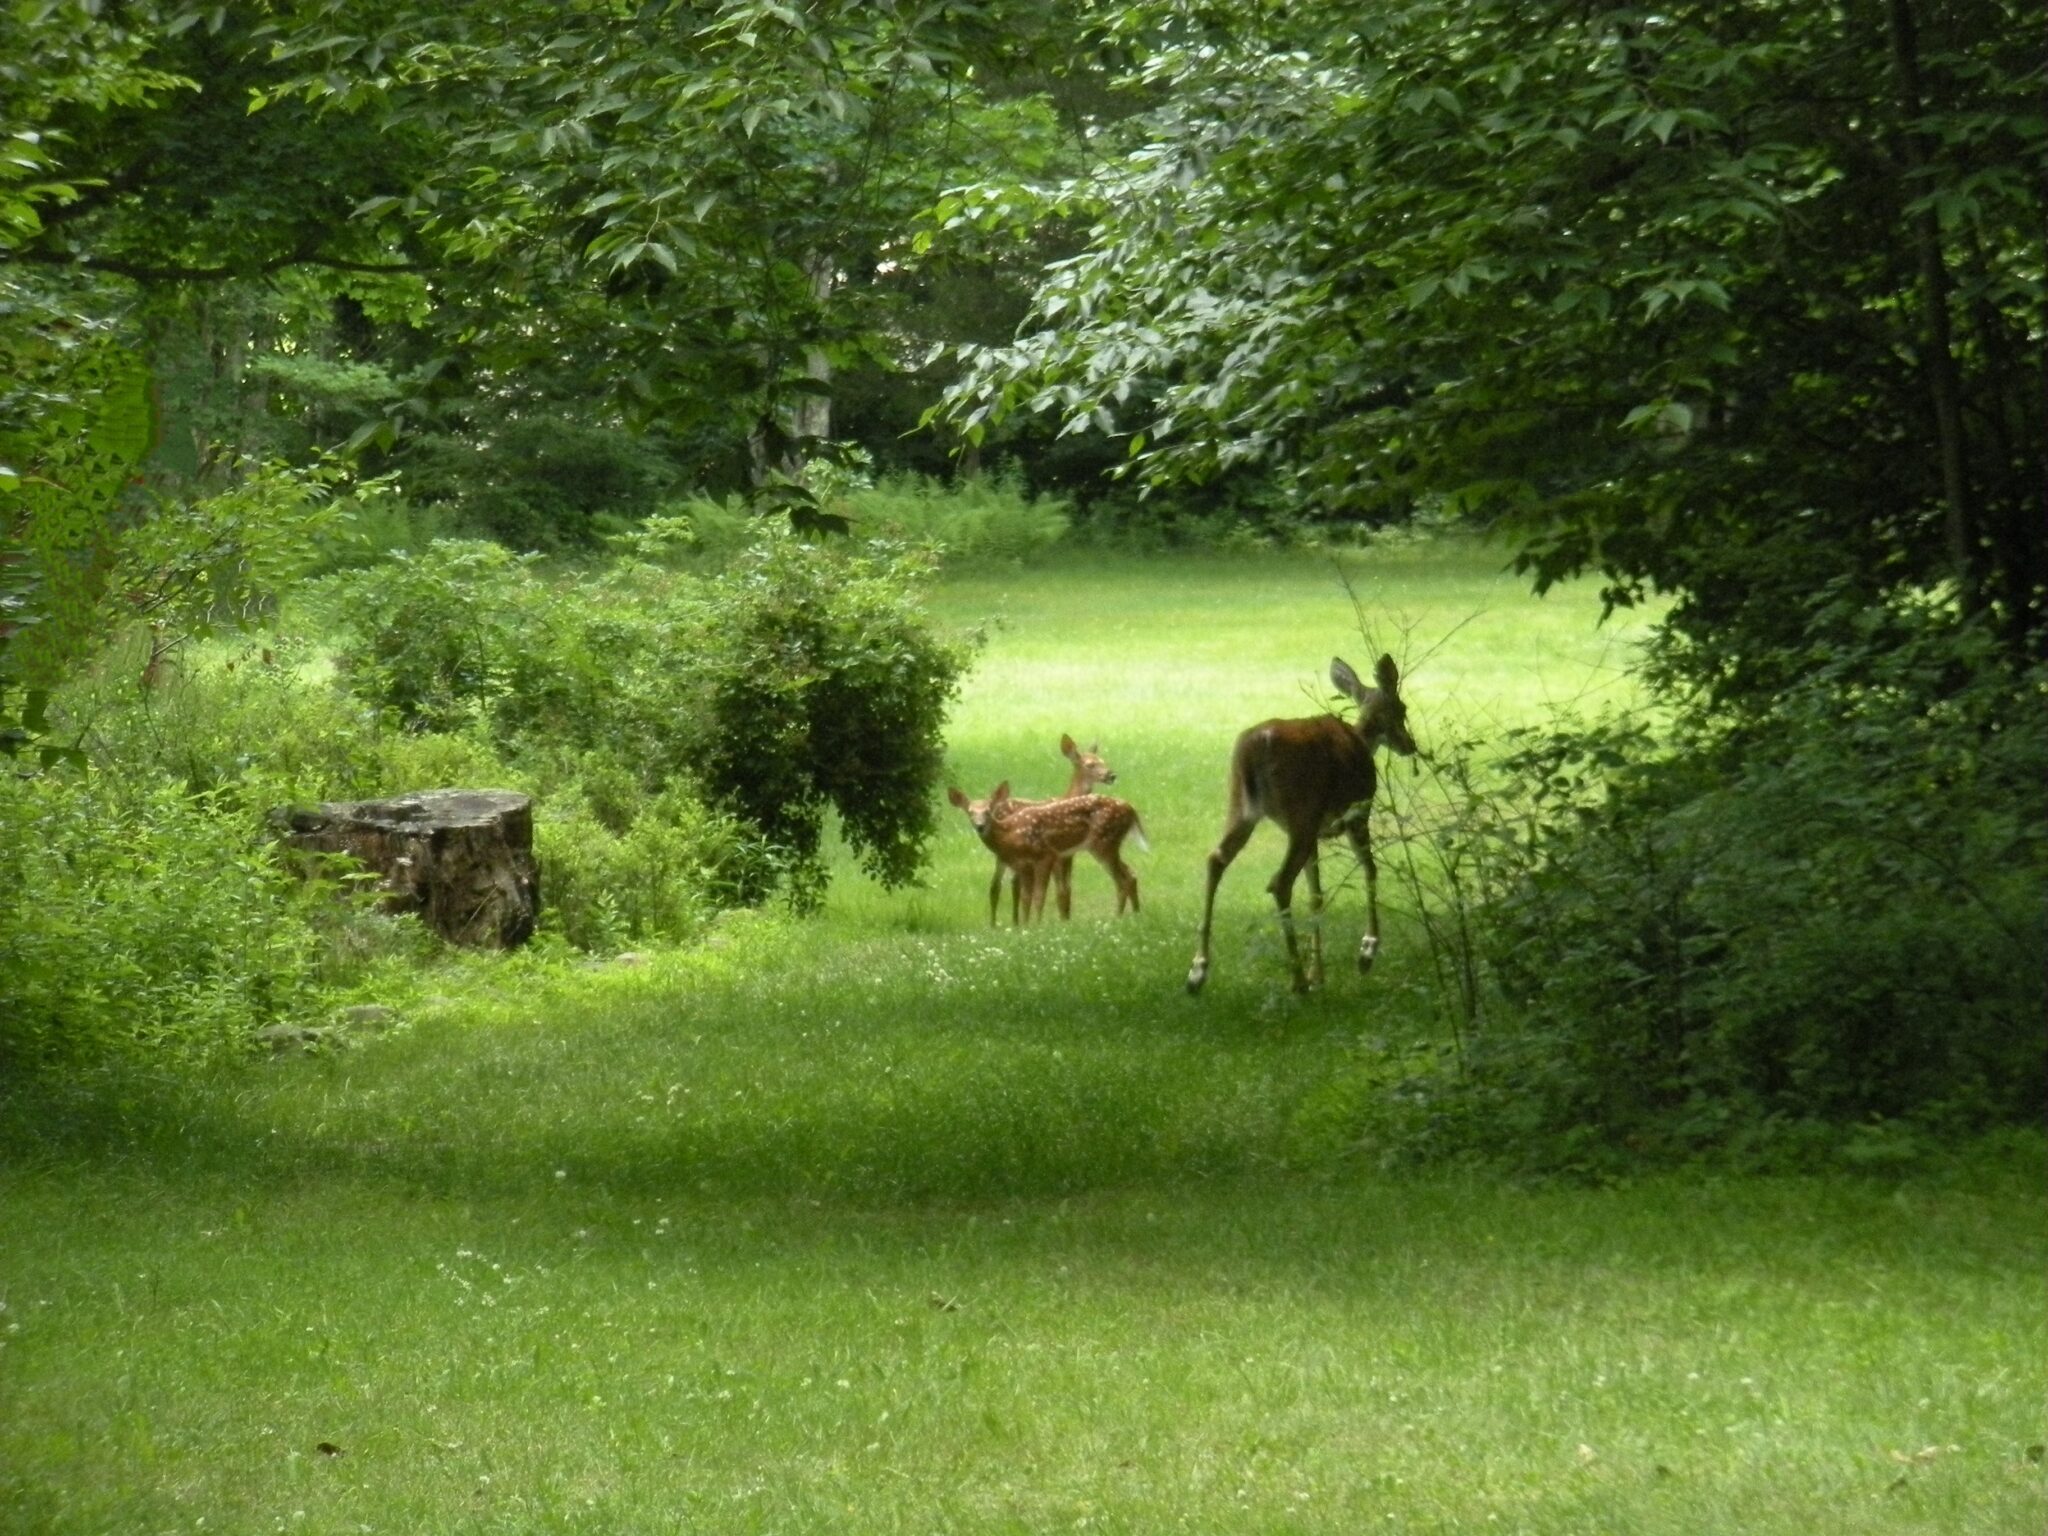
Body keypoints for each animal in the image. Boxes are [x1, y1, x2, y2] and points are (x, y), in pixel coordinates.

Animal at [946, 782, 1155, 925]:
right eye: (970, 812)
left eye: (988, 811)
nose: (980, 826)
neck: (1010, 833)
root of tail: (1130, 808)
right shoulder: (1023, 865)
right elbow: (1025, 898)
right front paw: (1024, 926)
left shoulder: (1045, 855)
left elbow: (1039, 896)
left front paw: (1036, 925)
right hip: (1109, 845)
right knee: (1131, 874)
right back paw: (1135, 914)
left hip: (1103, 843)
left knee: (1123, 878)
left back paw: (1117, 917)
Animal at [1196, 659, 1417, 999]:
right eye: (1402, 708)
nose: (1410, 745)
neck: (1360, 739)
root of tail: (1256, 747)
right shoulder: (1357, 812)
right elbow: (1370, 869)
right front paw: (1366, 952)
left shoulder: (1314, 833)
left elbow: (1316, 894)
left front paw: (1319, 975)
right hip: (1300, 812)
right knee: (1279, 882)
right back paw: (1297, 981)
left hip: (1242, 807)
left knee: (1215, 859)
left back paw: (1197, 971)